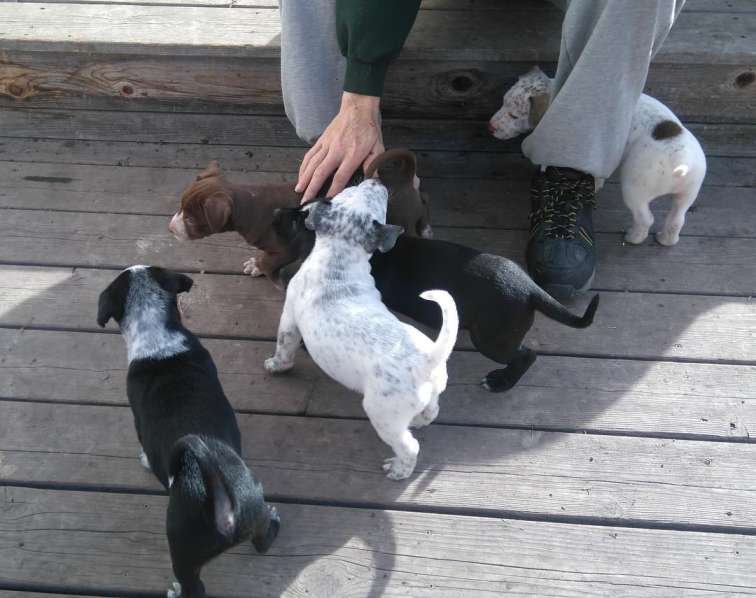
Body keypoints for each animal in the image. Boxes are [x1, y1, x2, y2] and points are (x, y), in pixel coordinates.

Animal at [96, 268, 280, 598]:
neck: (157, 333)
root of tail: (225, 509)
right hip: (254, 514)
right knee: (263, 541)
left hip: (182, 550)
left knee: (195, 587)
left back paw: (177, 591)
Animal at [262, 178, 458, 482]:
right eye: (350, 191)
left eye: (341, 192)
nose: (376, 179)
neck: (338, 261)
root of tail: (427, 360)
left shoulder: (289, 318)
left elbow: (284, 347)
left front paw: (275, 365)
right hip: (430, 392)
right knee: (431, 410)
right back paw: (419, 421)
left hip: (382, 413)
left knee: (409, 446)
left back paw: (398, 469)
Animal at [272, 209, 596, 396]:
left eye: (295, 221)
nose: (277, 211)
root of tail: (529, 287)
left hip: (491, 339)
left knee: (526, 354)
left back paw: (501, 382)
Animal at [488, 67, 704, 248]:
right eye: (503, 102)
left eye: (514, 115)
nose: (490, 127)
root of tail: (681, 165)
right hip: (688, 194)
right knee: (677, 219)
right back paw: (666, 239)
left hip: (634, 189)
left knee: (645, 218)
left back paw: (633, 237)